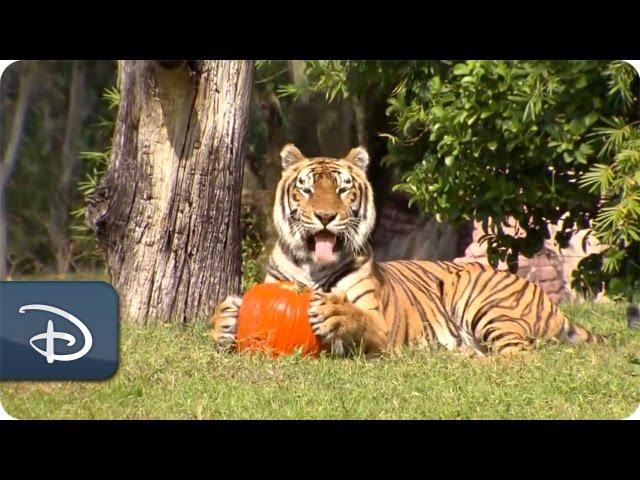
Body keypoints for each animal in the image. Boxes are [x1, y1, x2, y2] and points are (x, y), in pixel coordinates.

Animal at [211, 142, 604, 356]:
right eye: (306, 189)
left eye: (342, 189)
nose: (324, 216)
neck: (312, 266)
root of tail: (545, 297)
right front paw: (228, 316)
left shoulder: (382, 327)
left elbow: (358, 318)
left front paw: (336, 313)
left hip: (481, 299)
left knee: (519, 355)